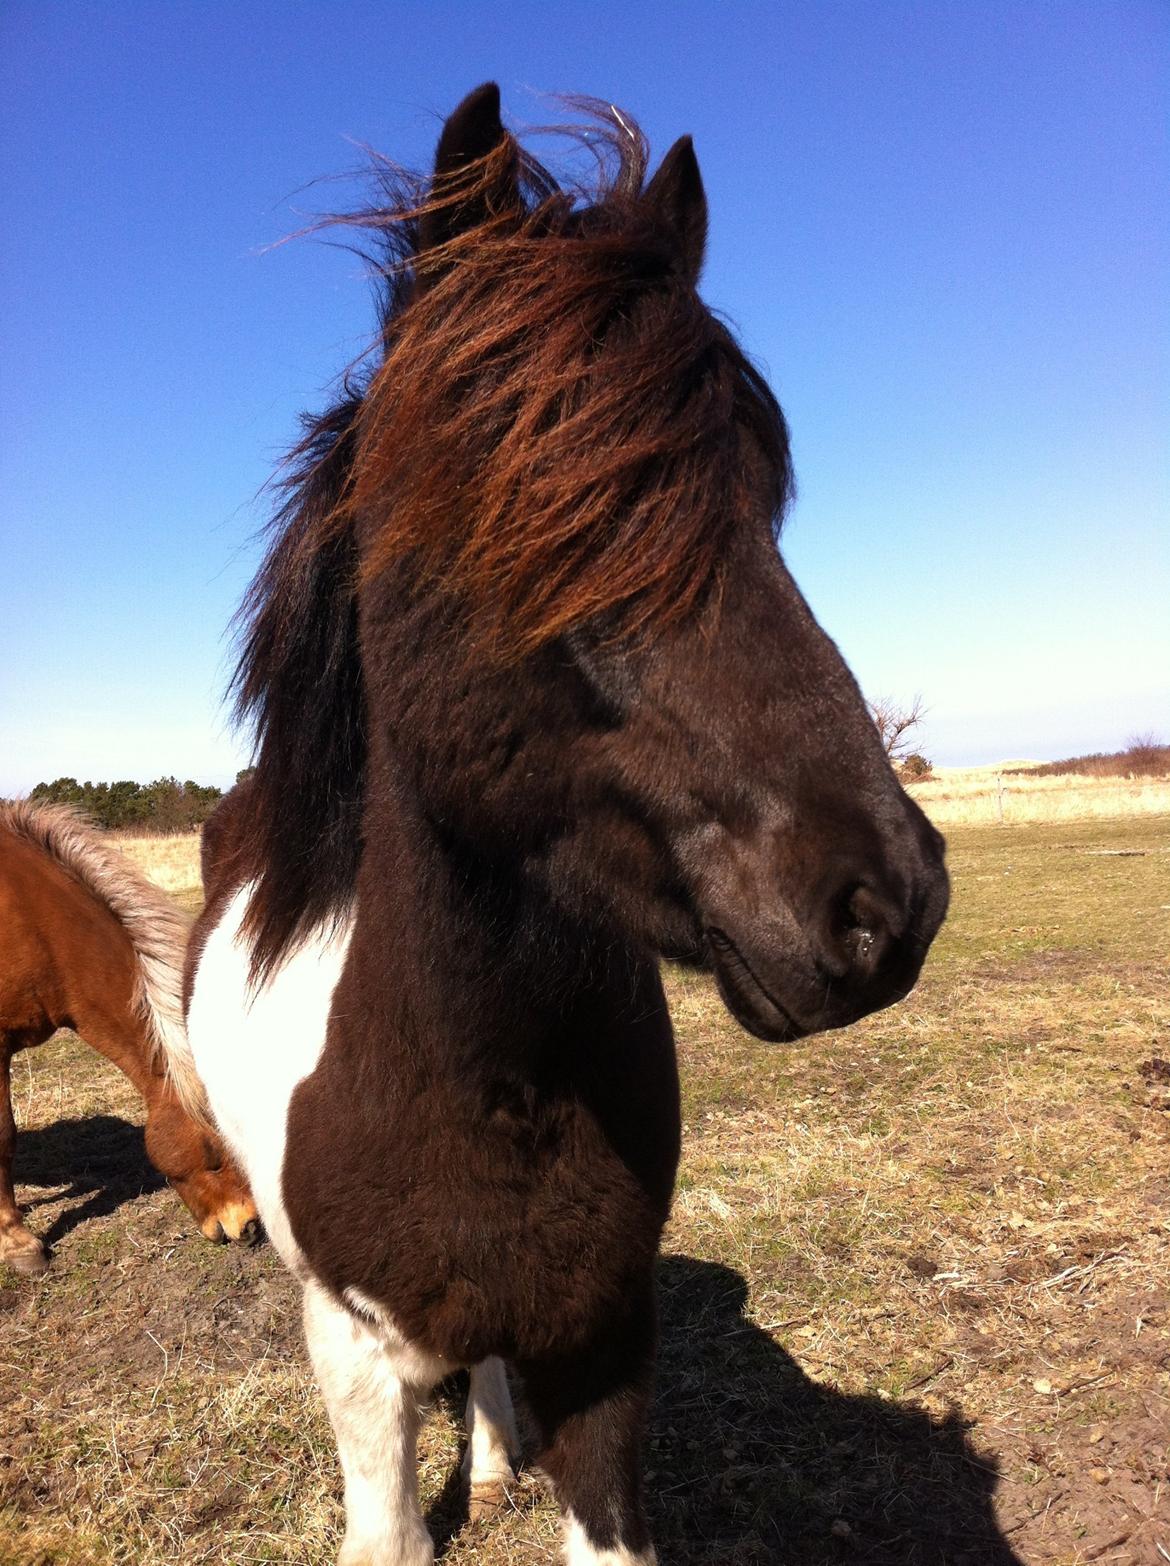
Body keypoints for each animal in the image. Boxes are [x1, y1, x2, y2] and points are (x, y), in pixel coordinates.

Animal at [176, 88, 952, 1566]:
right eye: (515, 501)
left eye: (762, 501)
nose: (881, 903)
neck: (489, 1082)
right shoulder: (356, 1353)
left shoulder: (607, 1341)